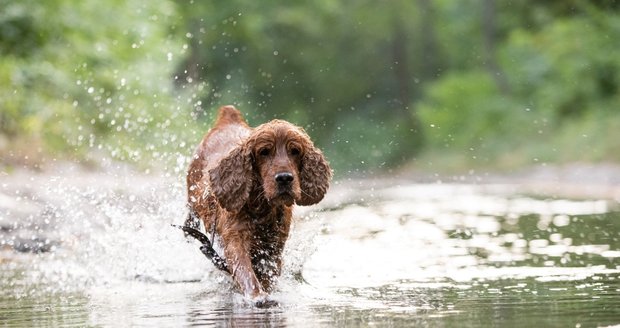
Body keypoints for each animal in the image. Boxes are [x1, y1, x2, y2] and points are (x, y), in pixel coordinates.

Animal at [185, 105, 332, 304]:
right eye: (264, 151)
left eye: (295, 151)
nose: (284, 178)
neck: (262, 208)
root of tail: (229, 117)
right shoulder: (235, 236)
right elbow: (244, 269)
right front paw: (256, 296)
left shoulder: (274, 247)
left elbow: (268, 273)